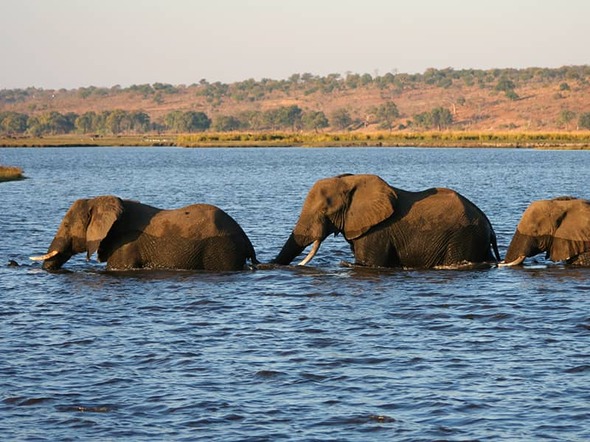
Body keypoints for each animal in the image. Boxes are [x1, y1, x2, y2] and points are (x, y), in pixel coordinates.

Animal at [272, 174, 500, 268]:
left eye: (324, 211)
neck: (350, 181)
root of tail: (488, 223)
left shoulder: (378, 231)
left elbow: (369, 263)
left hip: (463, 236)